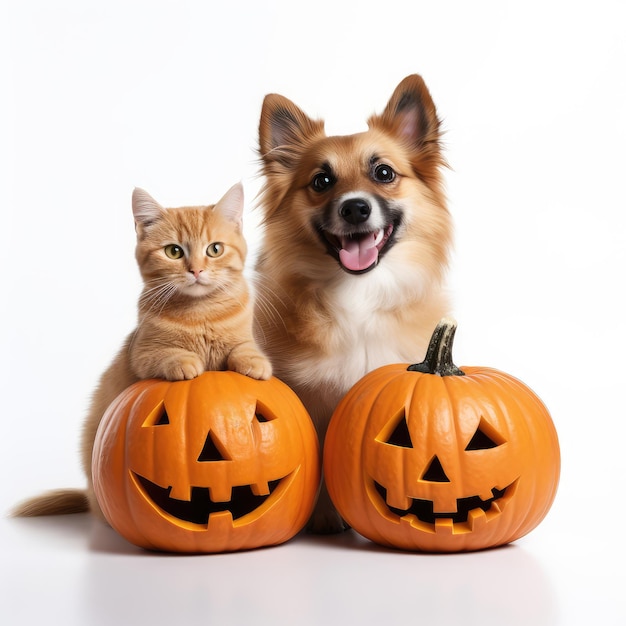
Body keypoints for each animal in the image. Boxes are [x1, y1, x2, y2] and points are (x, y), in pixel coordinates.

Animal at [13, 180, 270, 516]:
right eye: (174, 251)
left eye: (214, 249)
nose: (196, 271)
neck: (200, 313)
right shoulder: (143, 353)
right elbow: (168, 354)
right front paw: (186, 363)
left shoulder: (243, 337)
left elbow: (243, 348)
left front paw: (255, 363)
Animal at [251, 74, 450, 532]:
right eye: (321, 182)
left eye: (384, 173)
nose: (356, 208)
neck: (359, 293)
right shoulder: (307, 397)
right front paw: (325, 515)